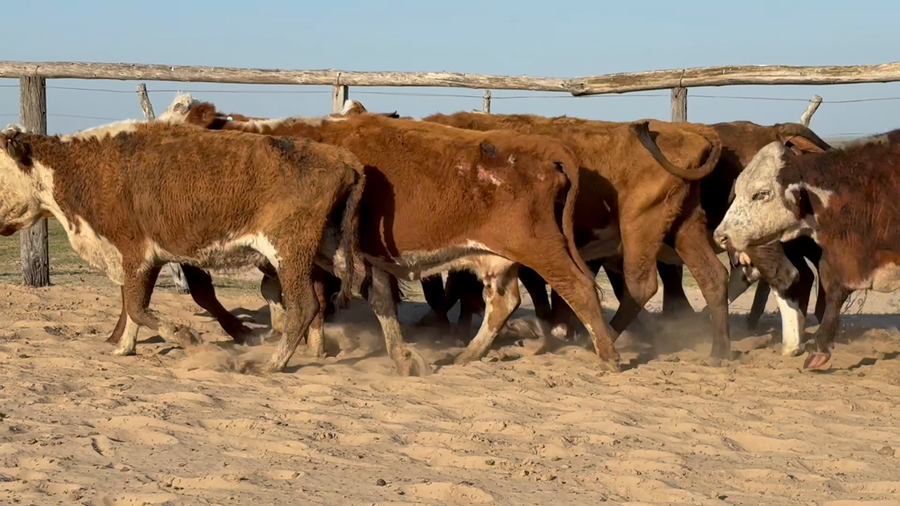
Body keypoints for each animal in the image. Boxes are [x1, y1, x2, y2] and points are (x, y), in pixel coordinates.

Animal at [0, 118, 366, 374]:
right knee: (340, 290)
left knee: (304, 306)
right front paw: (124, 347)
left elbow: (136, 307)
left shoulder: (135, 255)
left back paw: (273, 364)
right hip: (324, 250)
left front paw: (183, 336)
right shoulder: (146, 260)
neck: (91, 167)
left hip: (289, 252)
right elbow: (133, 306)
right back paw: (318, 351)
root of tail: (342, 158)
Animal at [162, 94, 625, 372]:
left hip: (541, 248)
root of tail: (545, 151)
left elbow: (308, 299)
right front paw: (401, 357)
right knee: (503, 303)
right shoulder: (368, 258)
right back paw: (467, 354)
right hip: (498, 259)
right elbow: (380, 301)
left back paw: (608, 356)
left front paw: (311, 348)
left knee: (580, 289)